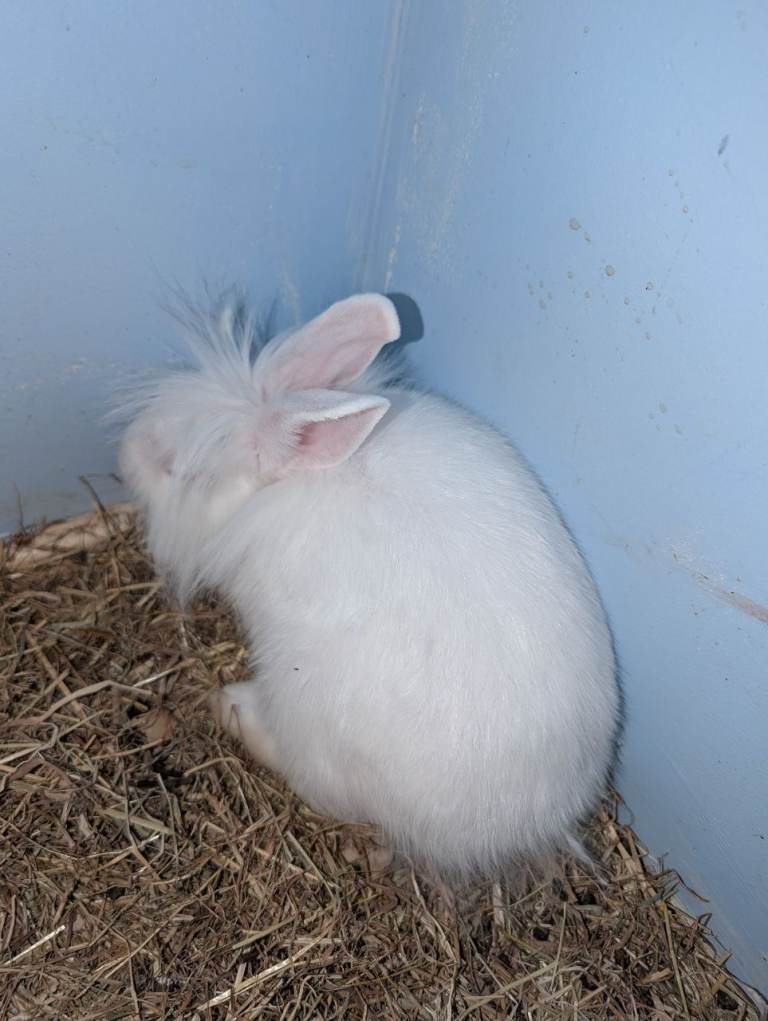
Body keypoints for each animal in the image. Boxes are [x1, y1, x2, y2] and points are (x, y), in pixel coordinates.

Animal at [117, 292, 620, 877]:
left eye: (179, 471)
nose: (124, 452)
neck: (293, 479)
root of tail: (525, 829)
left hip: (304, 708)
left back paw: (230, 706)